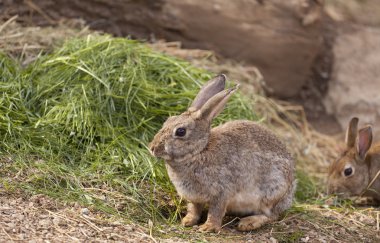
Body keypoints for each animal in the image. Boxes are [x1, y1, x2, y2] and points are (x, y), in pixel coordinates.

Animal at [149, 74, 296, 232]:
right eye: (168, 121)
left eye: (181, 131)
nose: (152, 148)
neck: (199, 151)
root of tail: (290, 192)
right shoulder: (195, 198)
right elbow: (194, 209)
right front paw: (187, 221)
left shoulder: (221, 192)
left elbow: (216, 211)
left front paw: (208, 227)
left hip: (272, 192)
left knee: (271, 215)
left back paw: (248, 223)